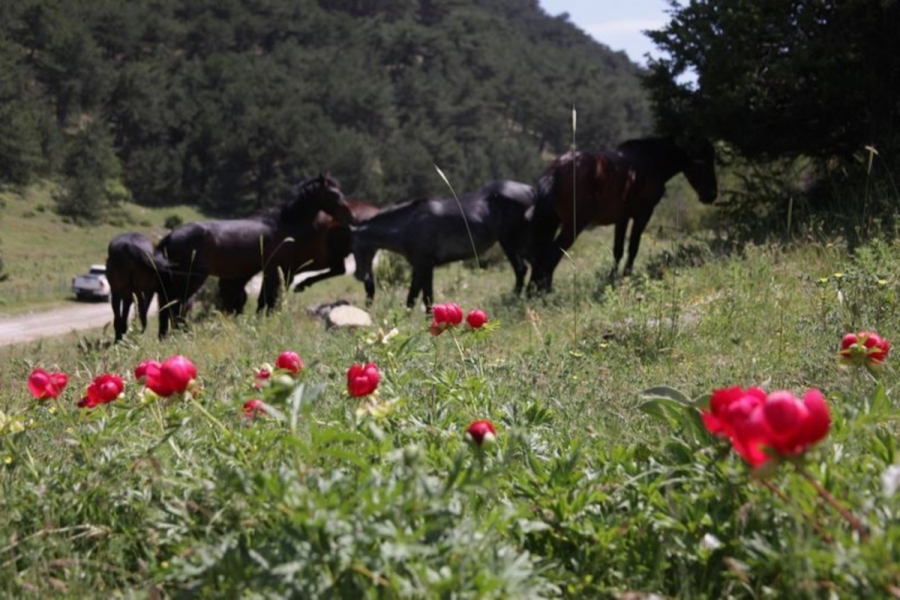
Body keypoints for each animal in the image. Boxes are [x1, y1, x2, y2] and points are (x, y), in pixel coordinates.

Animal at [155, 173, 352, 336]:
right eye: (334, 193)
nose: (350, 216)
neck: (283, 225)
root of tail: (170, 237)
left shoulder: (274, 272)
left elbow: (265, 301)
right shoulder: (278, 271)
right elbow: (270, 301)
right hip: (191, 279)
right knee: (177, 306)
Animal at [528, 138, 716, 292]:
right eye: (702, 164)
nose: (712, 195)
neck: (650, 161)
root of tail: (556, 170)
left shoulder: (622, 218)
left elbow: (617, 250)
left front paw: (612, 279)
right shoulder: (643, 214)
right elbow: (633, 247)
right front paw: (627, 276)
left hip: (552, 222)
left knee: (541, 253)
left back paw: (533, 290)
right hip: (573, 224)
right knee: (552, 253)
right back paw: (545, 291)